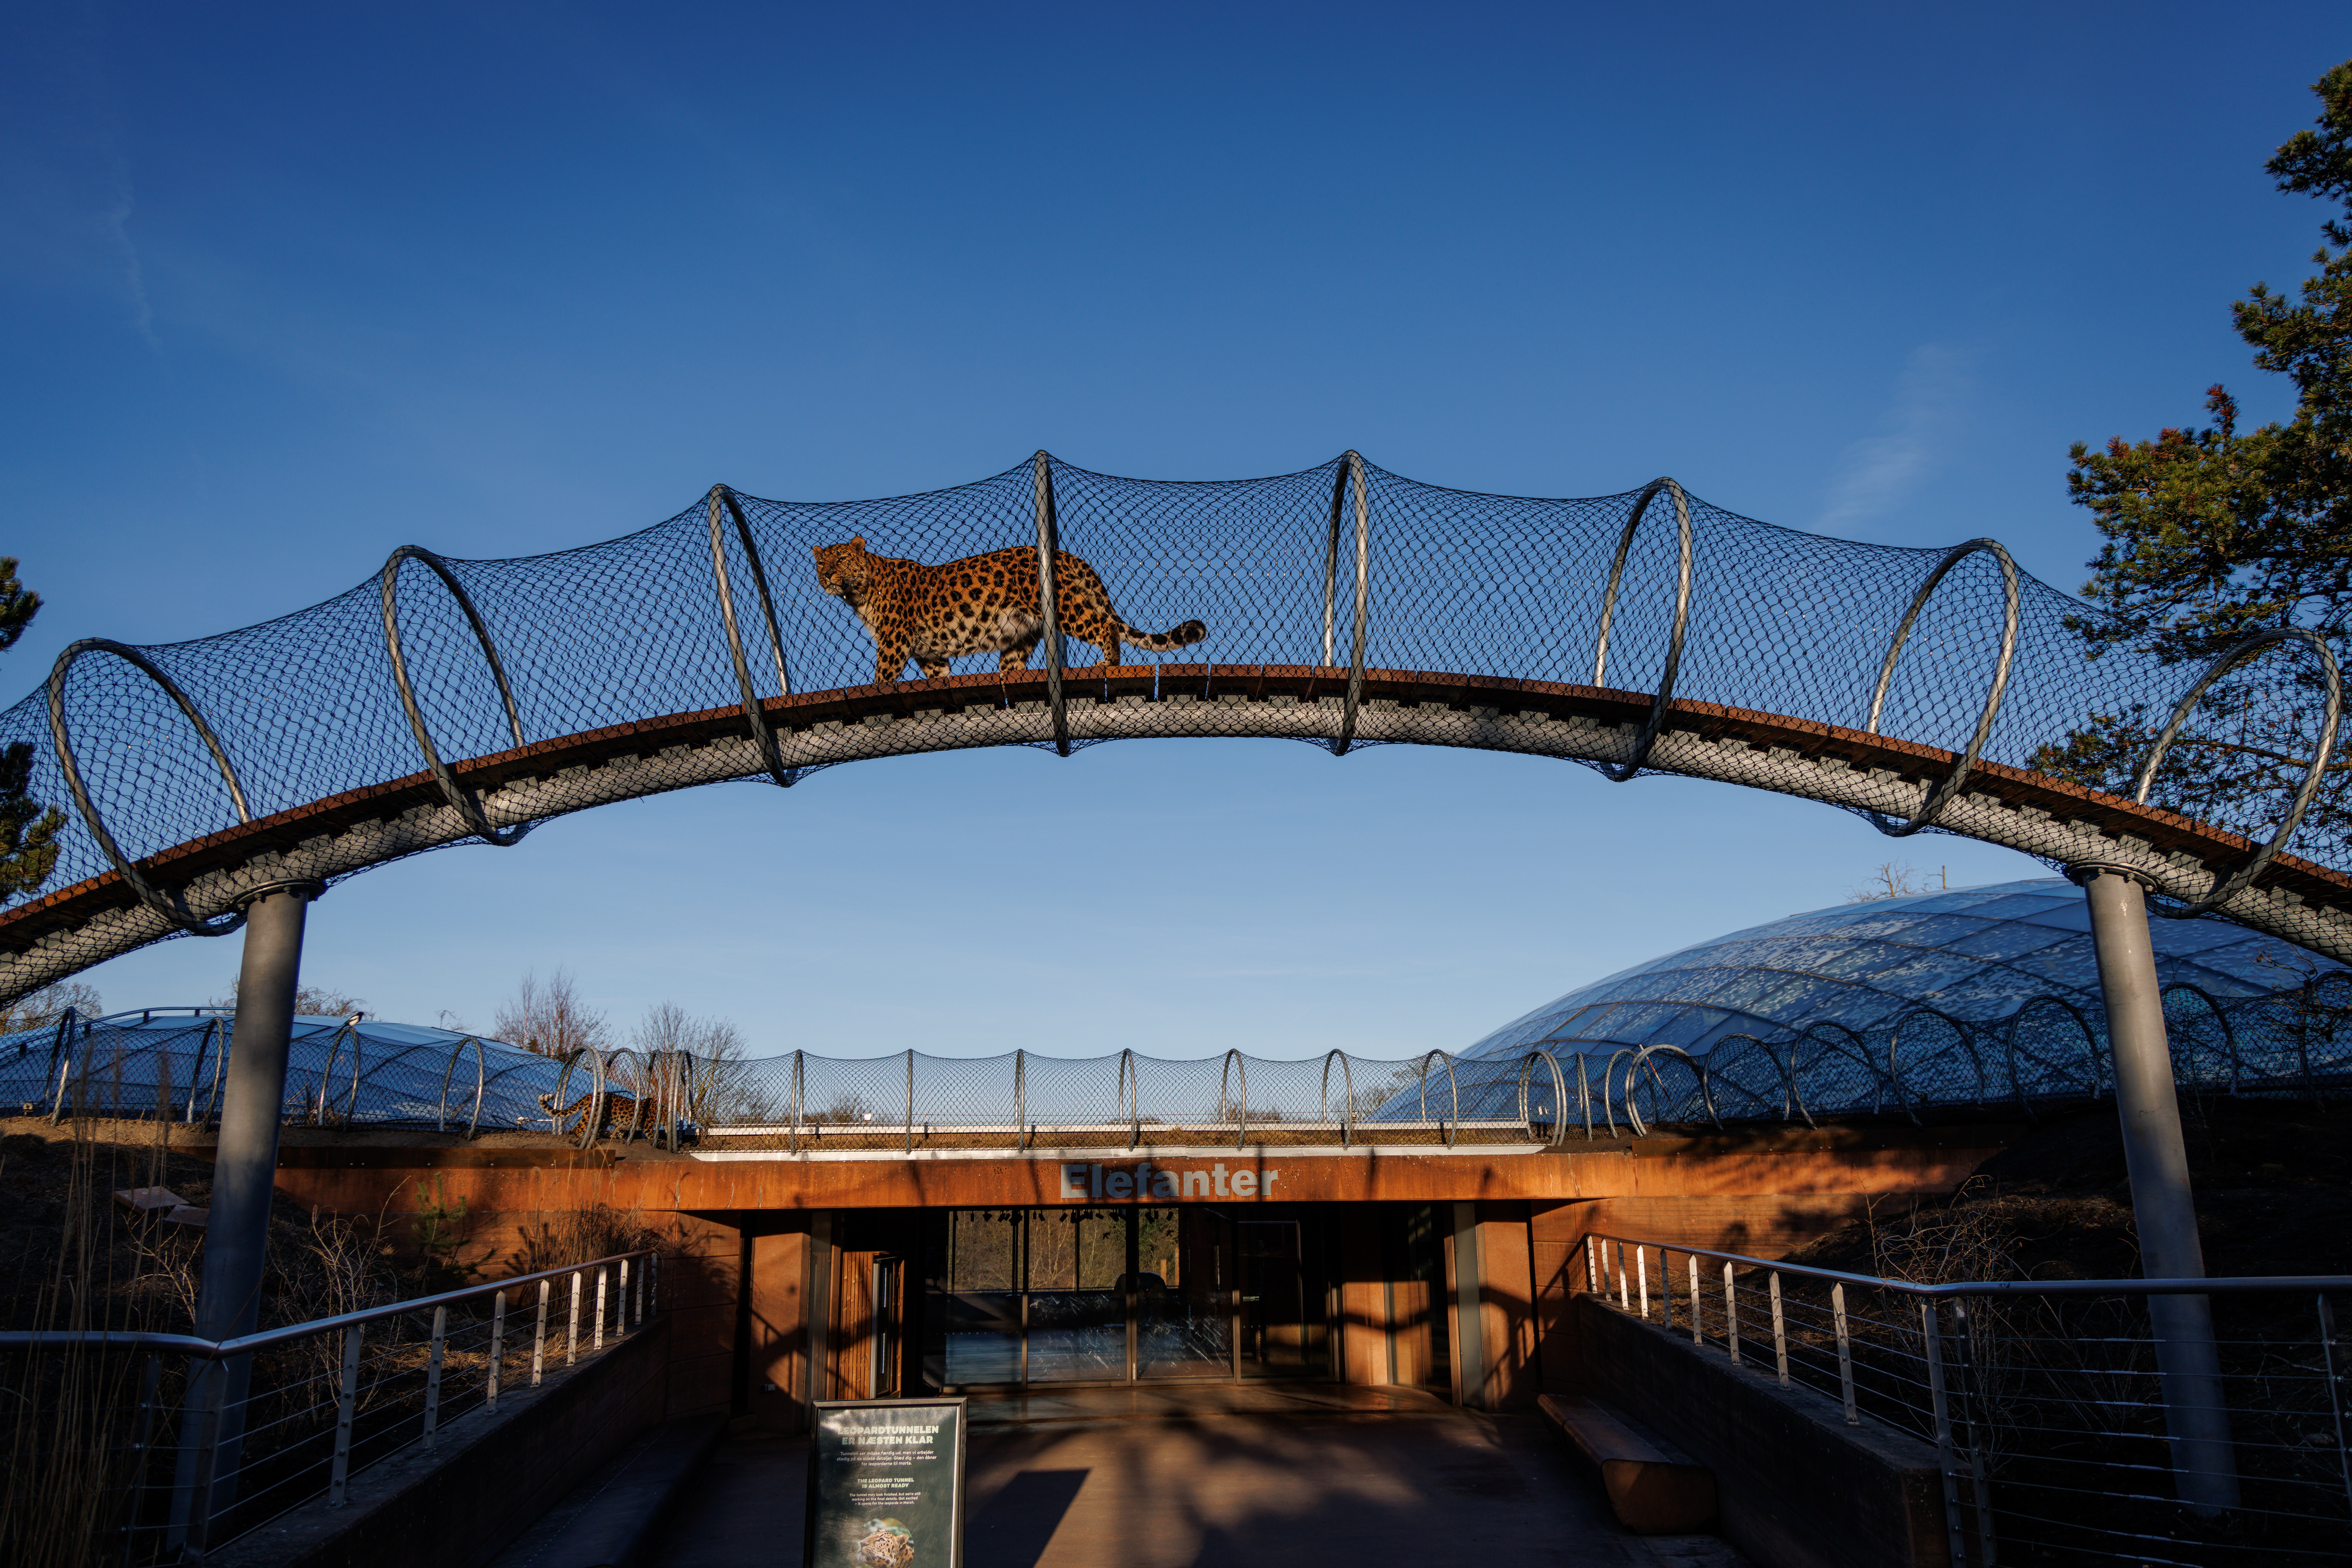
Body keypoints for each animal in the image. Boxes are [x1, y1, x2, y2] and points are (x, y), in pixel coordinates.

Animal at [810, 536, 1206, 685]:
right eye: (821, 563)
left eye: (841, 560)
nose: (827, 575)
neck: (858, 595)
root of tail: (1067, 556)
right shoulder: (929, 651)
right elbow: (939, 674)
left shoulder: (894, 641)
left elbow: (882, 675)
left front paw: (875, 688)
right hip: (1021, 633)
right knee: (1014, 664)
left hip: (1065, 606)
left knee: (1104, 627)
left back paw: (1108, 665)